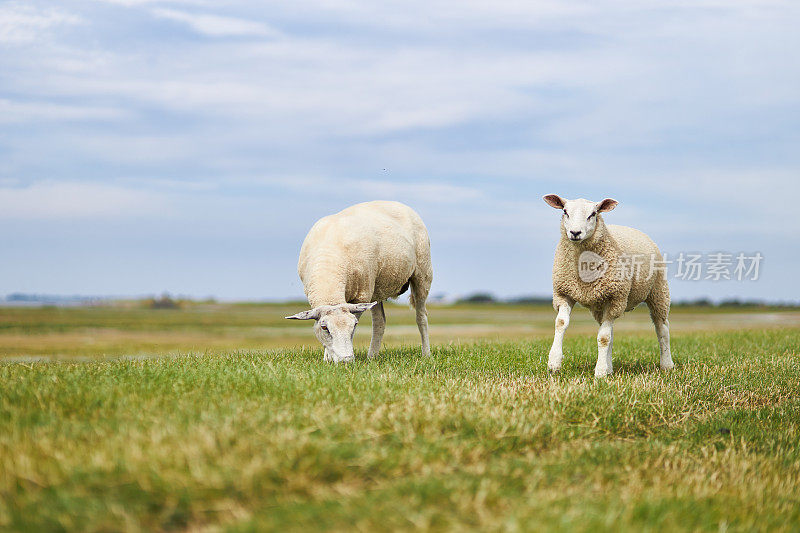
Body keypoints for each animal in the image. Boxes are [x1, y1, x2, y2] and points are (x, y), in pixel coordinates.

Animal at [282, 200, 432, 362]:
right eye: (324, 328)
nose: (346, 360)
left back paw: (426, 354)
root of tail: (397, 203)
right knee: (380, 322)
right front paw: (327, 358)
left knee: (421, 317)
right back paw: (372, 356)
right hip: (377, 287)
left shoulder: (362, 295)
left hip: (422, 273)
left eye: (354, 325)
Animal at [544, 193, 676, 376]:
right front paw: (554, 363)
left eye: (593, 214)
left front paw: (599, 372)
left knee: (662, 327)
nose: (575, 232)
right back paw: (610, 368)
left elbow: (603, 338)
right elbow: (561, 324)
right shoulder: (563, 293)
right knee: (610, 332)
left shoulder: (615, 298)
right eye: (565, 211)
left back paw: (666, 364)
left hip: (658, 291)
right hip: (600, 305)